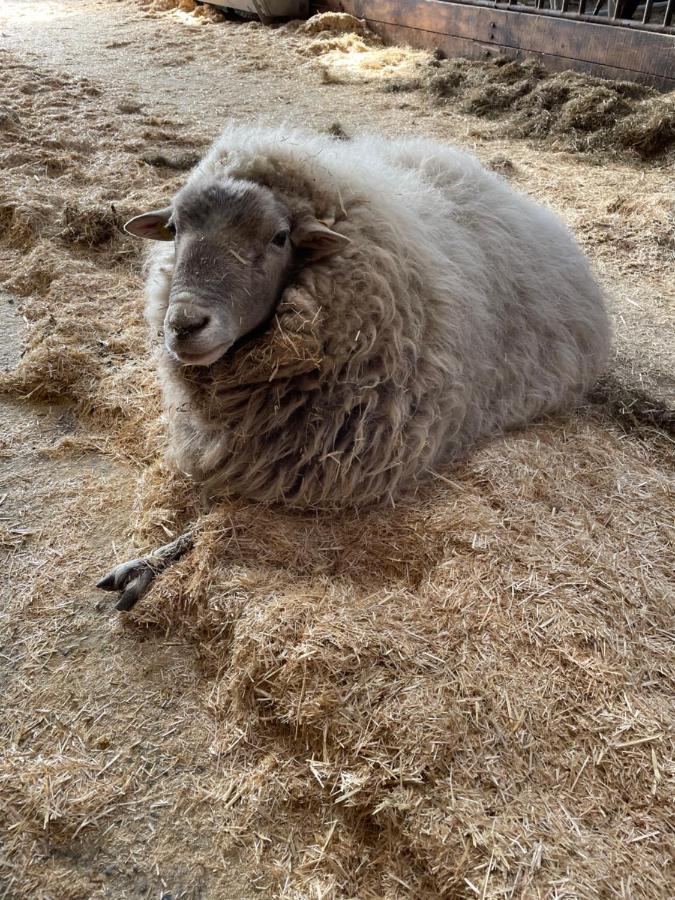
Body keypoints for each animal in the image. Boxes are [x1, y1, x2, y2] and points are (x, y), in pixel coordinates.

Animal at [96, 123, 612, 608]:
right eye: (175, 230)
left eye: (279, 237)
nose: (184, 324)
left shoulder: (323, 475)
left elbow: (225, 517)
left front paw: (152, 562)